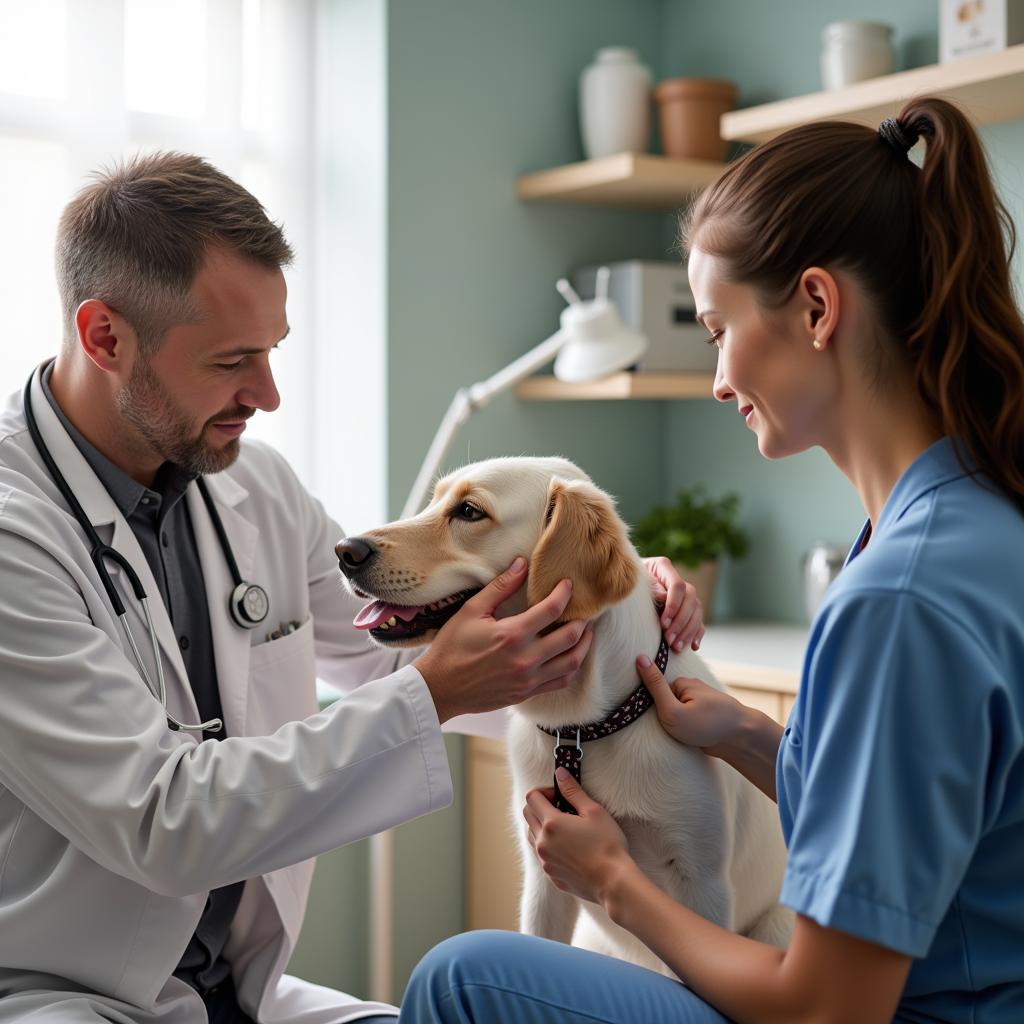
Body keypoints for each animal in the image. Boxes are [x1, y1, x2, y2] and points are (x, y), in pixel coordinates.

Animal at [335, 458, 790, 974]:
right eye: (434, 502)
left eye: (469, 511)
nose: (345, 551)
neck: (581, 729)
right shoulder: (542, 877)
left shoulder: (703, 883)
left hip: (775, 926)